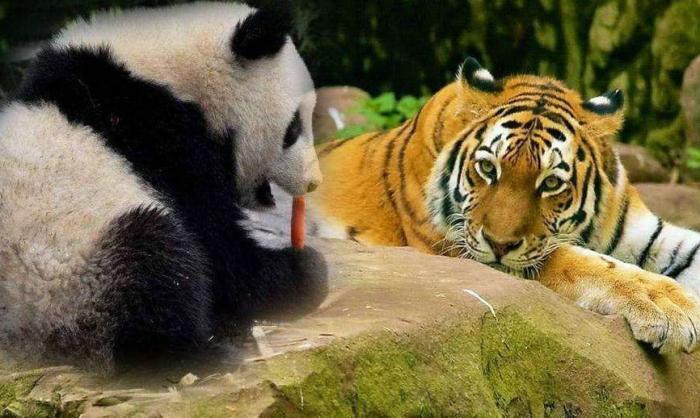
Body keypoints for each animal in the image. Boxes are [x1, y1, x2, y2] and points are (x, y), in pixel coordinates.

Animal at [308, 57, 700, 354]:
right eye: (487, 168)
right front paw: (670, 308)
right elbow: (582, 262)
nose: (499, 244)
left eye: (551, 183)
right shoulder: (456, 247)